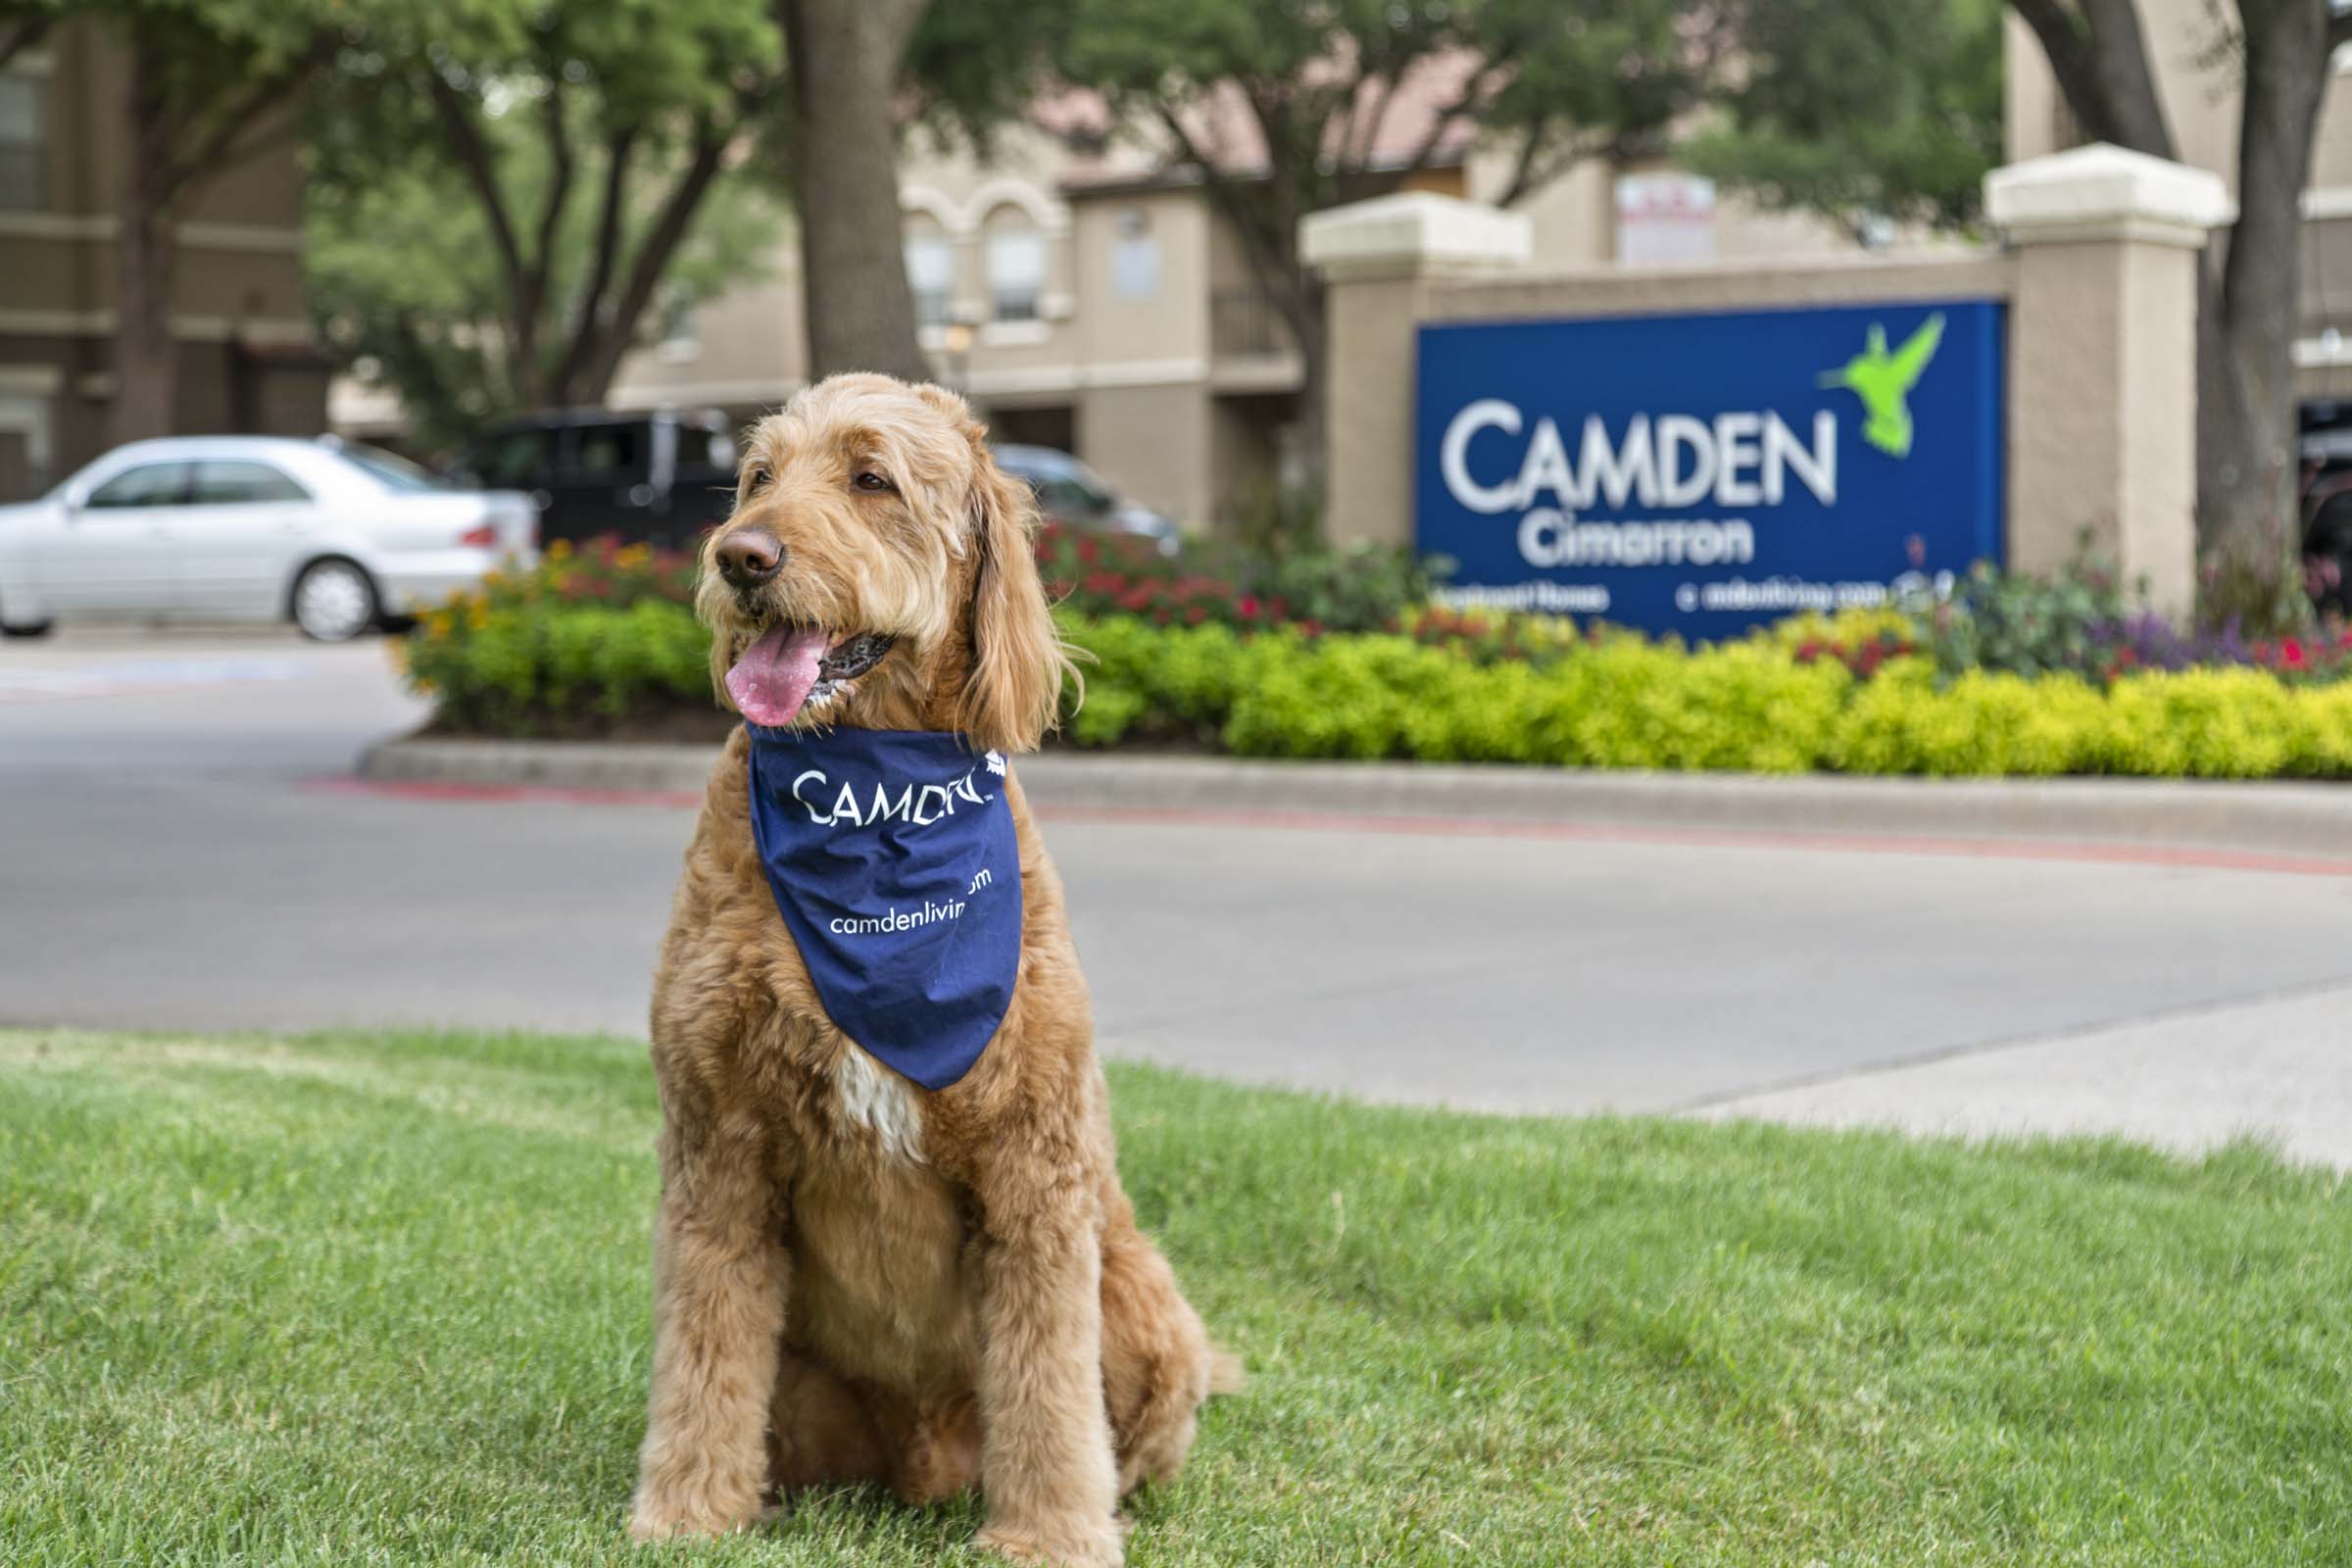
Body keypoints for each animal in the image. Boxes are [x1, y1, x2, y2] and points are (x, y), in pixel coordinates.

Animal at [635, 373, 1242, 1560]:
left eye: (872, 479)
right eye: (757, 476)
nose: (740, 557)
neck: (872, 794)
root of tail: (924, 1463)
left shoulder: (1035, 1168)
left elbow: (1049, 1382)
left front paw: (1052, 1534)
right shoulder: (716, 1146)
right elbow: (702, 1351)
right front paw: (685, 1513)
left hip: (1145, 1301)